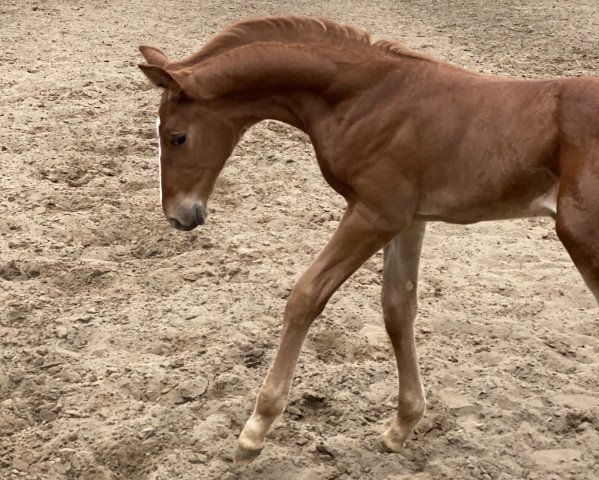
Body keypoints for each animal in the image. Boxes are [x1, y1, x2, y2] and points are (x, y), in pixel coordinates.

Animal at [141, 16, 599, 464]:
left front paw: (255, 430)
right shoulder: (408, 219)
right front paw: (402, 427)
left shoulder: (375, 214)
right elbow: (398, 308)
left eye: (177, 137)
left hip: (581, 235)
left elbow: (306, 296)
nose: (179, 216)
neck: (367, 97)